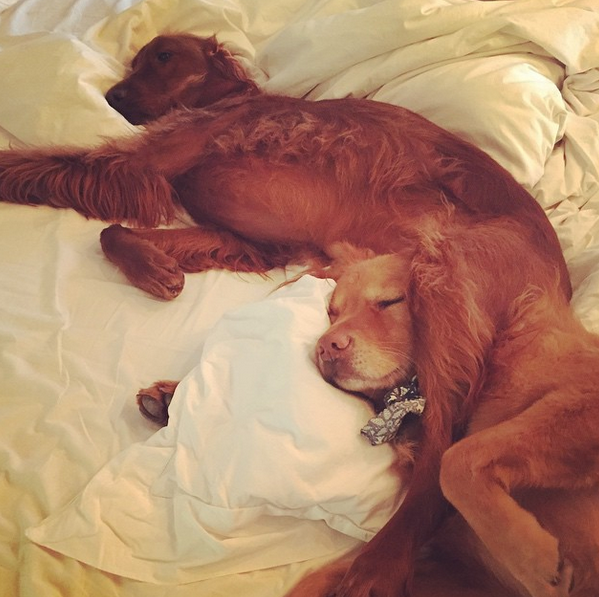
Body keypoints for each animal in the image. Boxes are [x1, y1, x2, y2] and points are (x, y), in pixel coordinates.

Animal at [0, 33, 570, 304]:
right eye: (133, 63)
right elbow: (116, 233)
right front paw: (156, 267)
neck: (228, 99)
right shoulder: (243, 240)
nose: (112, 96)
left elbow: (45, 165)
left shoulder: (145, 160)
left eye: (162, 57)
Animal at [286, 227, 599, 597]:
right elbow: (315, 579)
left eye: (390, 301)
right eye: (333, 311)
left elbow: (456, 462)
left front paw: (537, 562)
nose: (325, 347)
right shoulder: (463, 569)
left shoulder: (582, 398)